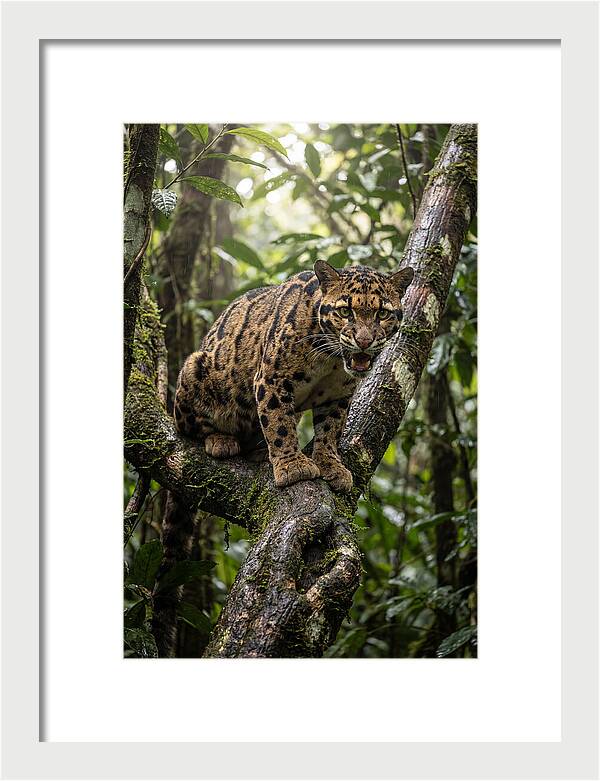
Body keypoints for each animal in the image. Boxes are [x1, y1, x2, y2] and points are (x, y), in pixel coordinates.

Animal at [174, 260, 414, 492]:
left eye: (382, 314)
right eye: (345, 312)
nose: (364, 341)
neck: (331, 360)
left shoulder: (338, 395)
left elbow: (330, 430)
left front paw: (331, 464)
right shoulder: (271, 379)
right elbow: (279, 423)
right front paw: (293, 466)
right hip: (194, 367)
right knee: (191, 429)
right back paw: (221, 440)